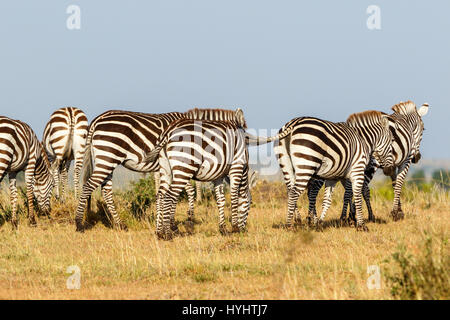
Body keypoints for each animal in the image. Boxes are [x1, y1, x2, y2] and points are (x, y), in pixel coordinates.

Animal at [74, 108, 250, 232]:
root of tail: (97, 119)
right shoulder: (181, 164)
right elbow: (187, 192)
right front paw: (184, 220)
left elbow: (165, 193)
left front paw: (167, 222)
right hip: (108, 156)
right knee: (89, 186)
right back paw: (79, 223)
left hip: (106, 160)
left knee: (106, 191)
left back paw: (119, 224)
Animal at [144, 118, 292, 240]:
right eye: (249, 204)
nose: (244, 230)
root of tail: (169, 132)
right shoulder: (236, 167)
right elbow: (233, 195)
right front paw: (235, 227)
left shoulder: (218, 176)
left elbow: (220, 200)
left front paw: (223, 229)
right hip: (184, 167)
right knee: (169, 196)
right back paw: (168, 233)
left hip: (165, 169)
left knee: (160, 195)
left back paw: (159, 232)